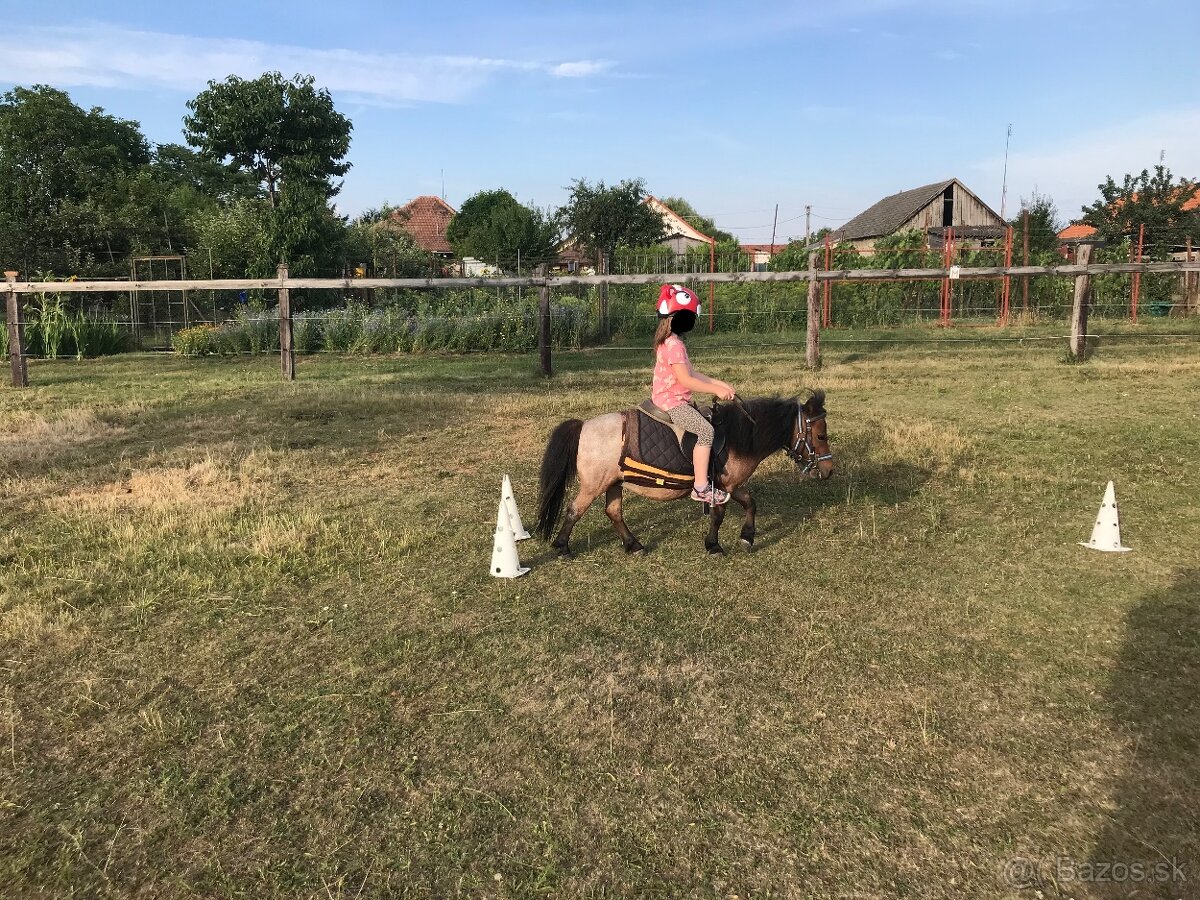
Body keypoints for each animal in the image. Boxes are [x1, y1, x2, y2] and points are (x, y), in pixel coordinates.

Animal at [540, 393, 830, 556]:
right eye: (820, 436)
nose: (828, 470)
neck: (737, 437)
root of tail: (584, 426)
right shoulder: (721, 486)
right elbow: (719, 515)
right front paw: (714, 546)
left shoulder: (731, 485)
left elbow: (751, 503)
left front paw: (747, 538)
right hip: (594, 485)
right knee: (575, 509)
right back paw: (562, 547)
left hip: (614, 482)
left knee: (613, 512)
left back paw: (634, 546)